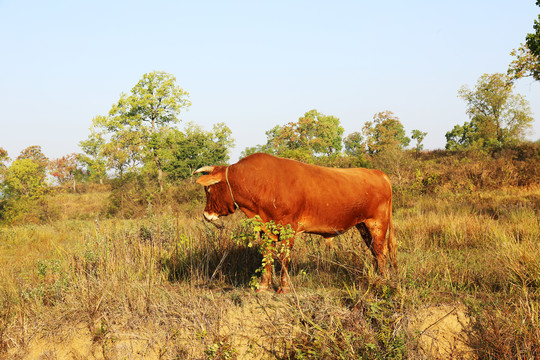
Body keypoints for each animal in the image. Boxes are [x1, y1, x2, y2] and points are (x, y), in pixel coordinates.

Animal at [194, 152, 396, 292]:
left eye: (209, 190)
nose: (206, 215)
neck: (262, 183)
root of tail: (379, 173)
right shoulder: (266, 230)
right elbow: (266, 257)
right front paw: (263, 286)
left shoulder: (288, 228)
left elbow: (284, 258)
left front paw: (283, 288)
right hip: (363, 226)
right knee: (375, 252)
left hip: (377, 224)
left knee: (381, 252)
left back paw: (383, 279)